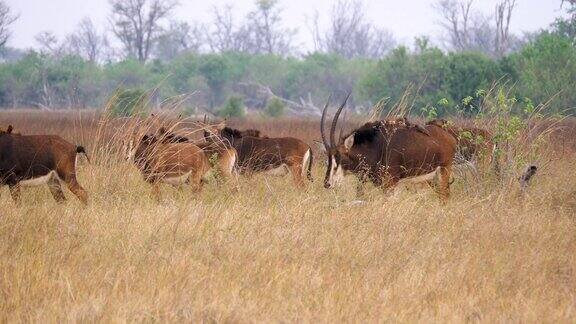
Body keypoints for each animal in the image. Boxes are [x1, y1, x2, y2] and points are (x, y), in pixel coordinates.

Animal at [322, 96, 456, 199]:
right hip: (432, 179)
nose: (327, 183)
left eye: (339, 158)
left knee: (445, 196)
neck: (375, 146)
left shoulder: (390, 183)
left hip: (443, 171)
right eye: (328, 160)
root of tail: (449, 136)